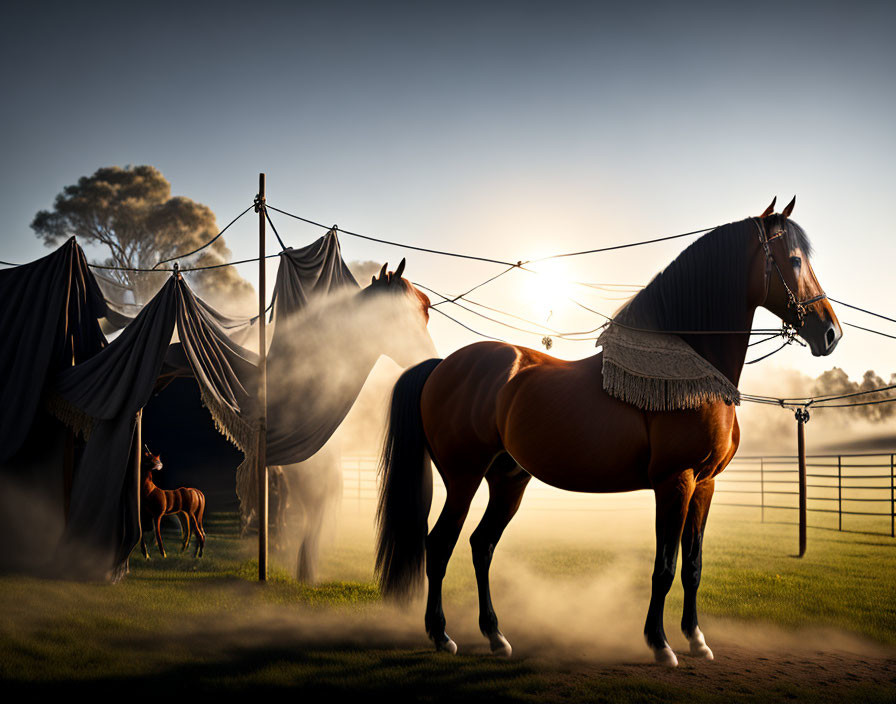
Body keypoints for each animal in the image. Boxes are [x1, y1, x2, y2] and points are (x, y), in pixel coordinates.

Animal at [376, 197, 840, 664]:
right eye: (794, 260)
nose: (830, 332)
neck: (690, 367)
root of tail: (442, 366)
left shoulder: (705, 484)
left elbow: (692, 567)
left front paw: (696, 639)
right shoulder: (676, 481)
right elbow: (664, 567)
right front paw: (660, 643)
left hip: (508, 480)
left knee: (481, 545)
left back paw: (495, 635)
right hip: (463, 478)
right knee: (439, 545)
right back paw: (441, 634)